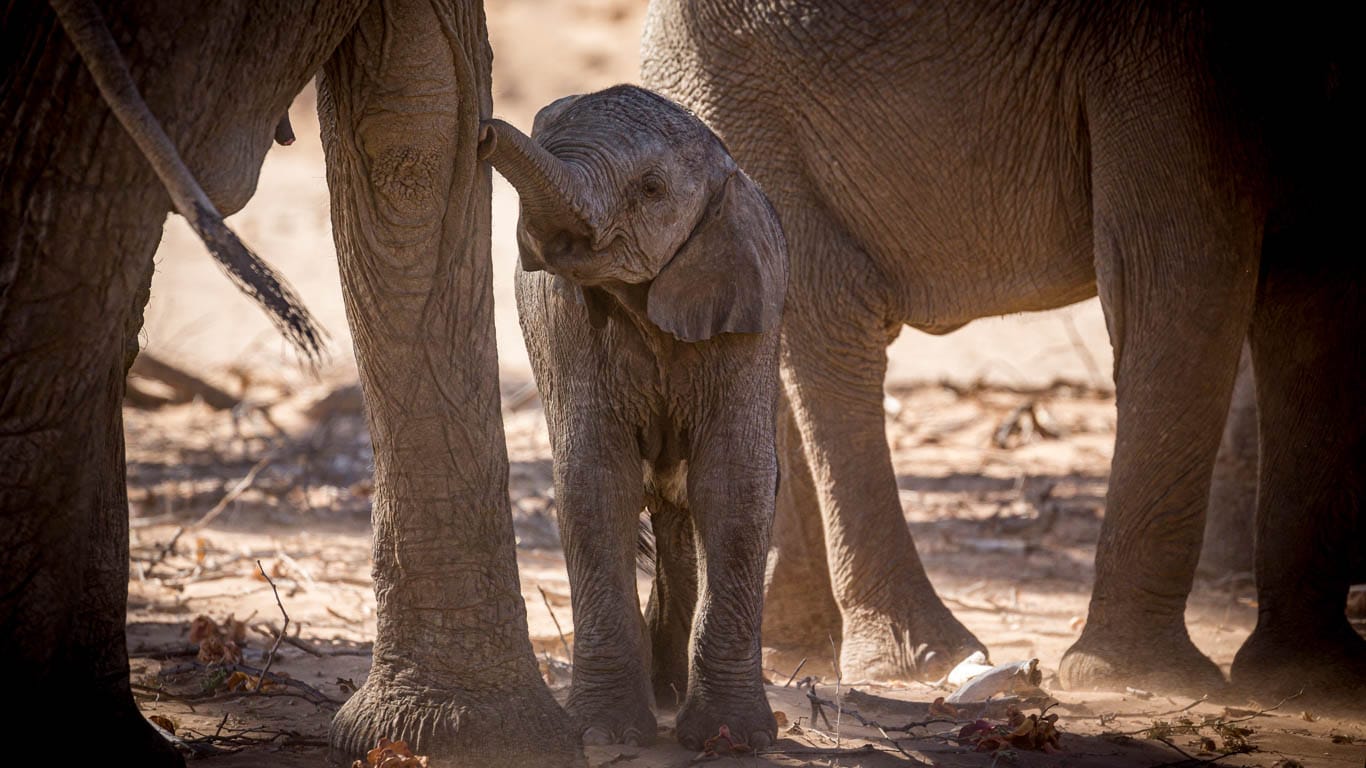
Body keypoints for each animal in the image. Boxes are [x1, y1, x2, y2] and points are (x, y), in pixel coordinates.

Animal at [480, 85, 786, 748]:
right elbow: (596, 480)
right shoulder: (565, 324)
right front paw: (606, 734)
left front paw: (732, 740)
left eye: (651, 189)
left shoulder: (752, 309)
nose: (484, 129)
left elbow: (736, 483)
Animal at [642, 0, 1366, 699]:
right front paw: (1144, 678)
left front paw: (1315, 678)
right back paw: (928, 662)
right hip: (748, 99)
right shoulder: (1168, 53)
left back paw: (798, 648)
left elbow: (1318, 299)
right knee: (831, 323)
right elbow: (1181, 275)